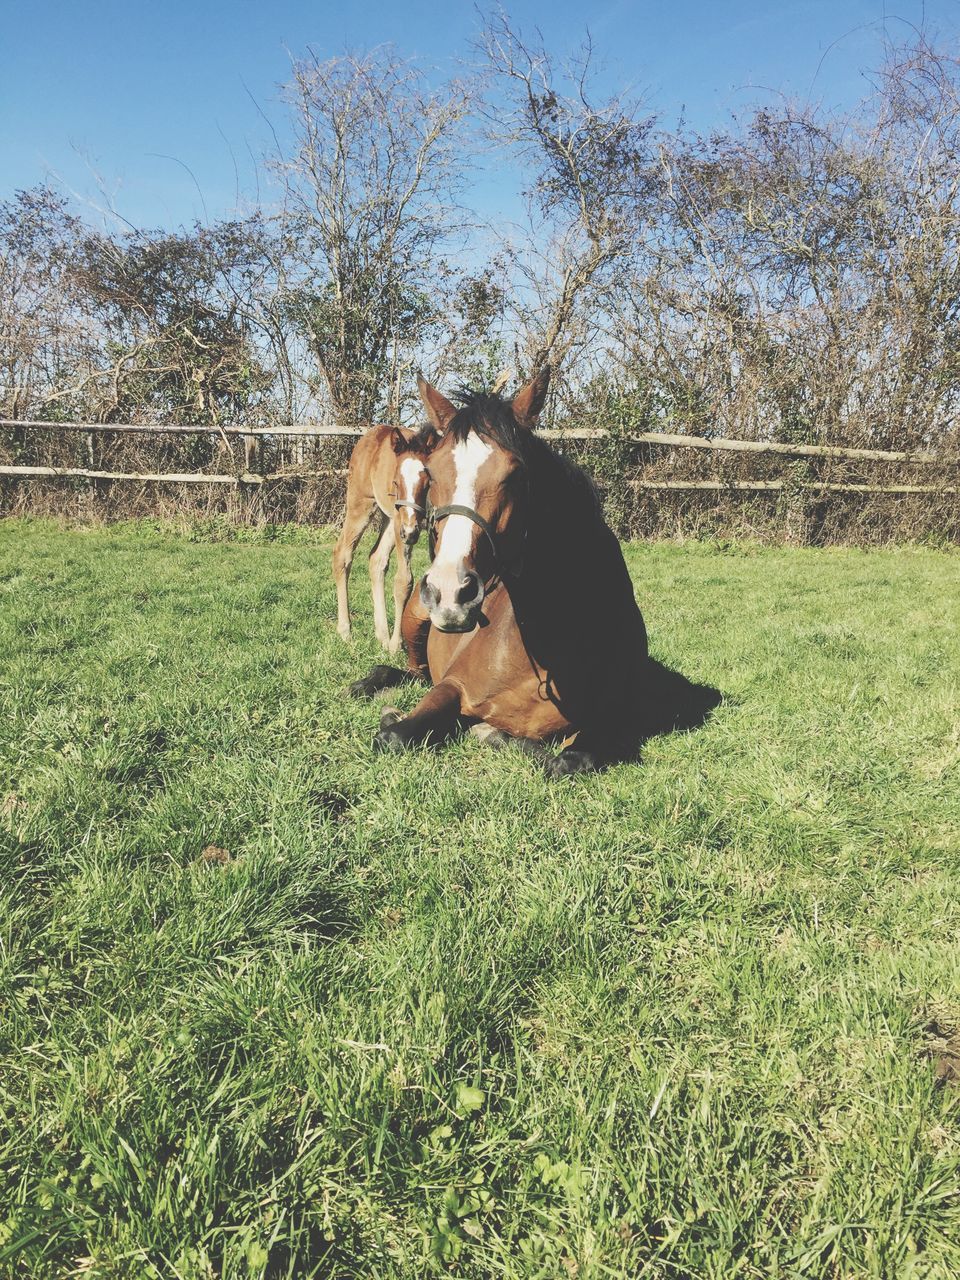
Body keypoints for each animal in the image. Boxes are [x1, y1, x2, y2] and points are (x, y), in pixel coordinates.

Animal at [333, 423, 438, 653]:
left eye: (428, 482)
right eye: (396, 483)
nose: (411, 531)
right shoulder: (403, 525)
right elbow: (404, 581)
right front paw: (396, 646)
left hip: (391, 519)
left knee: (377, 559)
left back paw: (381, 635)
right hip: (363, 505)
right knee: (342, 554)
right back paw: (346, 632)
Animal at [348, 368, 651, 776]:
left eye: (515, 474)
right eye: (432, 473)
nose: (449, 594)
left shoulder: (609, 725)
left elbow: (569, 760)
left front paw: (492, 733)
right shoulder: (452, 685)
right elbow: (394, 735)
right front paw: (393, 716)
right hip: (415, 620)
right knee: (411, 670)